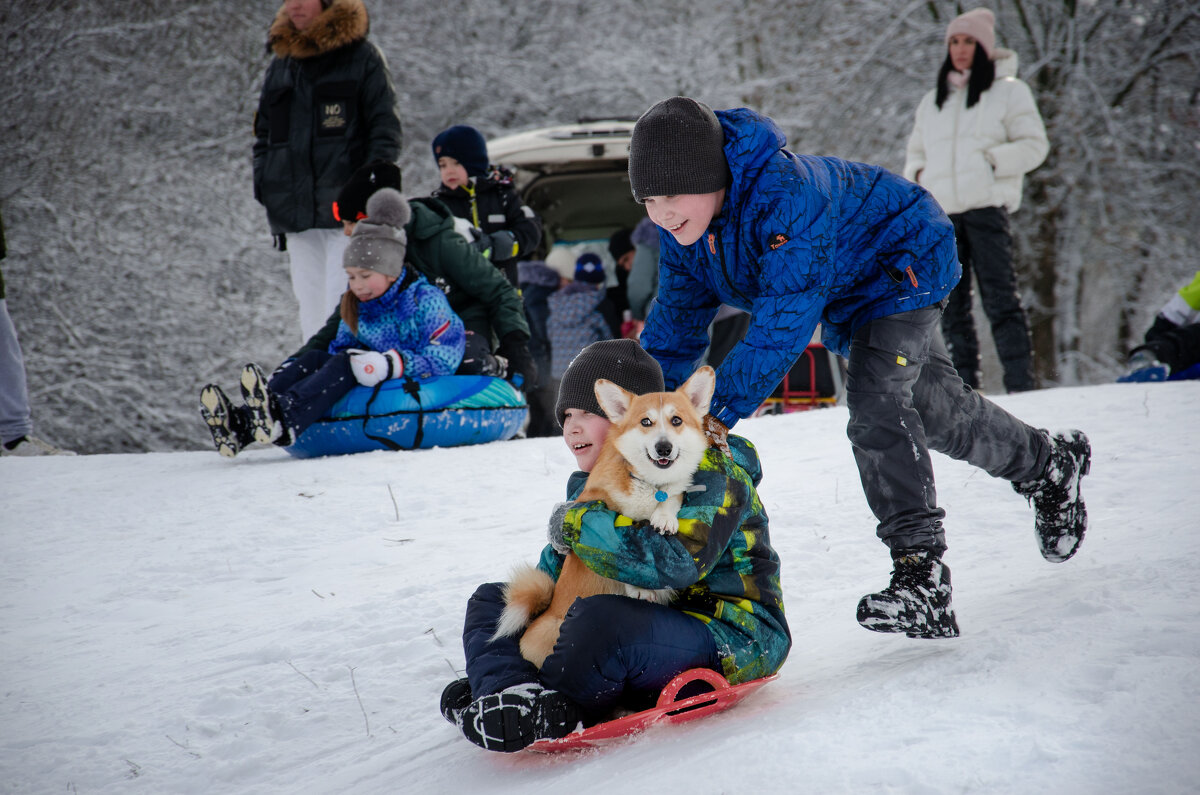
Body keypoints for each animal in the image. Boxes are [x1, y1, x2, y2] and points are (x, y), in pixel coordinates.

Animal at [494, 369, 715, 672]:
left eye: (677, 420)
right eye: (646, 421)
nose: (664, 447)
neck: (648, 483)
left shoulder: (673, 489)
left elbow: (671, 497)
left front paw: (665, 518)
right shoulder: (596, 506)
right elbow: (622, 556)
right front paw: (639, 588)